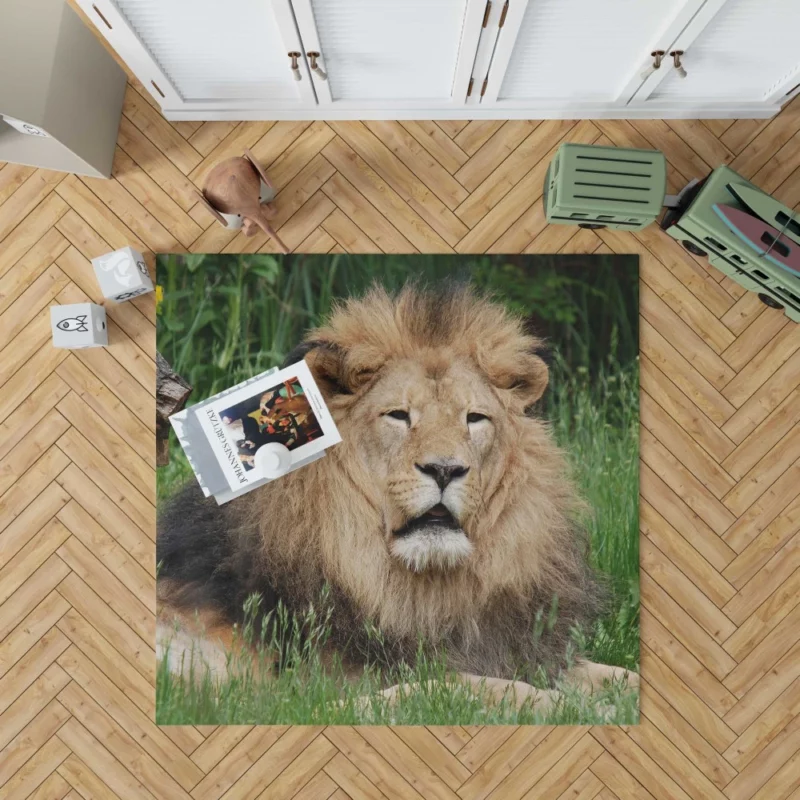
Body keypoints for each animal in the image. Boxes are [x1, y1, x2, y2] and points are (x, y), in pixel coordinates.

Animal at [158, 284, 636, 708]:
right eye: (399, 416)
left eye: (475, 419)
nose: (445, 469)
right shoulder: (331, 680)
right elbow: (473, 685)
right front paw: (563, 705)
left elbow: (613, 673)